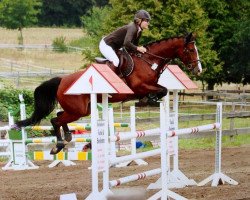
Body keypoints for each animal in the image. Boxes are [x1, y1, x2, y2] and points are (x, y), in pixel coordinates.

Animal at [13, 32, 202, 155]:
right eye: (191, 50)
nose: (198, 69)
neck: (149, 60)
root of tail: (62, 80)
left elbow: (163, 90)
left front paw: (149, 100)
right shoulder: (140, 86)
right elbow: (161, 90)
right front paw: (149, 99)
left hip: (82, 109)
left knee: (60, 116)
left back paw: (68, 138)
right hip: (78, 110)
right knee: (55, 120)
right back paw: (58, 146)